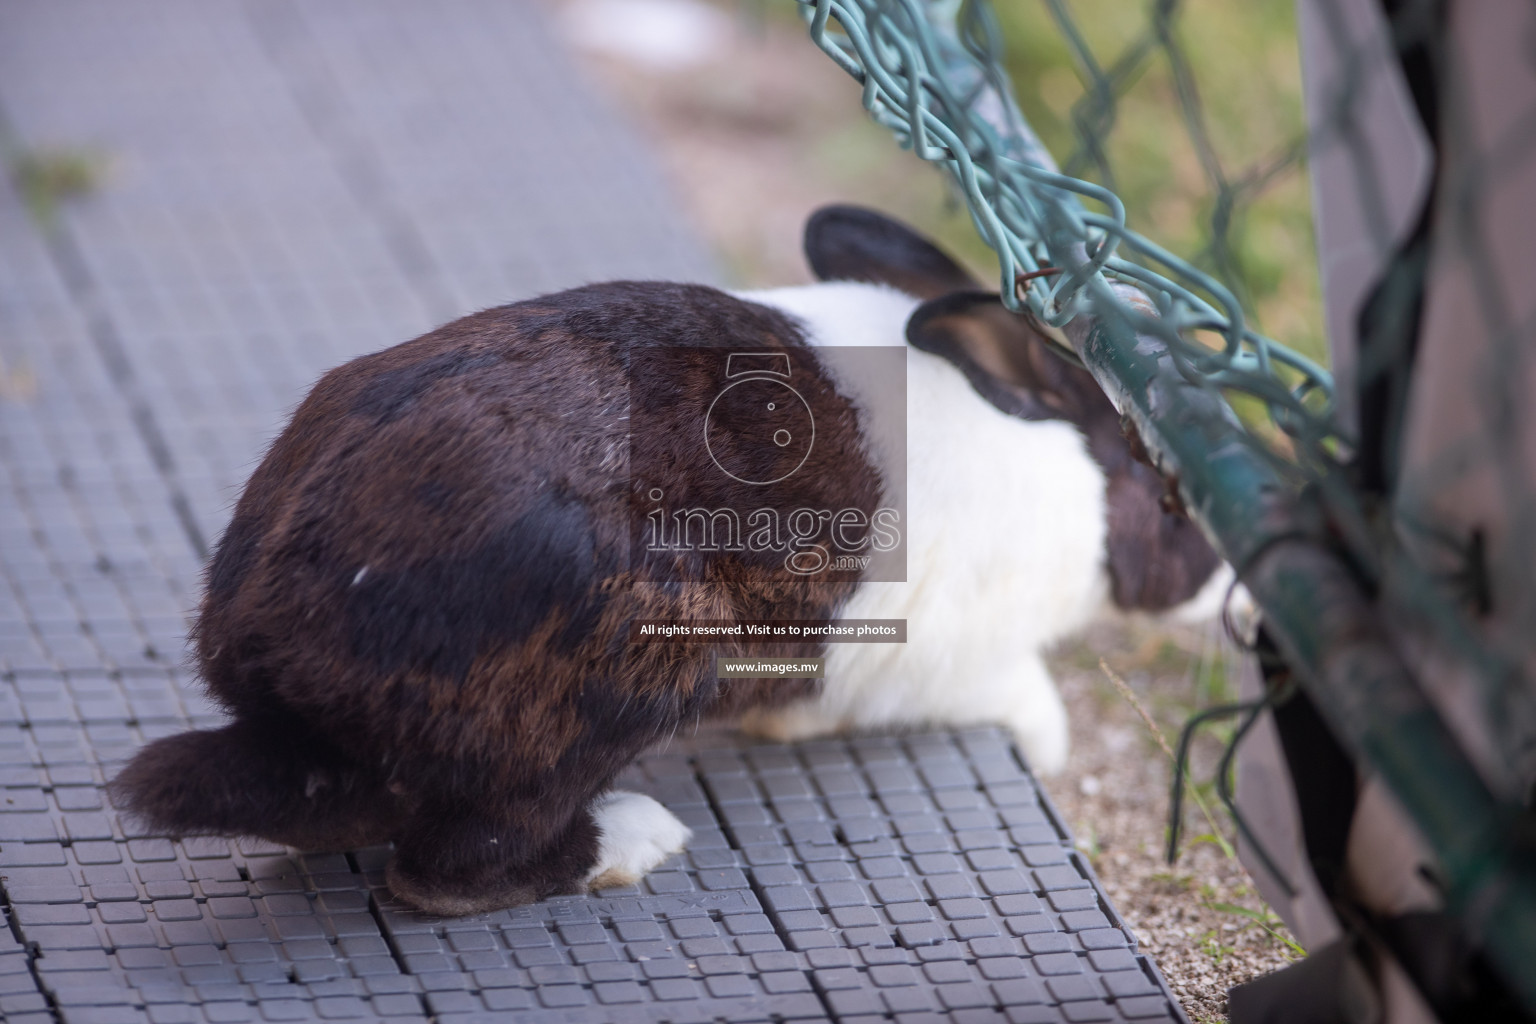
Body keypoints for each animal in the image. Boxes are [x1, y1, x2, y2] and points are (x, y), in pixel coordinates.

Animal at [108, 204, 1228, 914]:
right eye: (1173, 496)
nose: (1229, 584)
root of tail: (280, 685)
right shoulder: (941, 663)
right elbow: (1023, 697)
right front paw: (1048, 742)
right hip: (641, 670)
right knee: (449, 868)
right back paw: (635, 841)